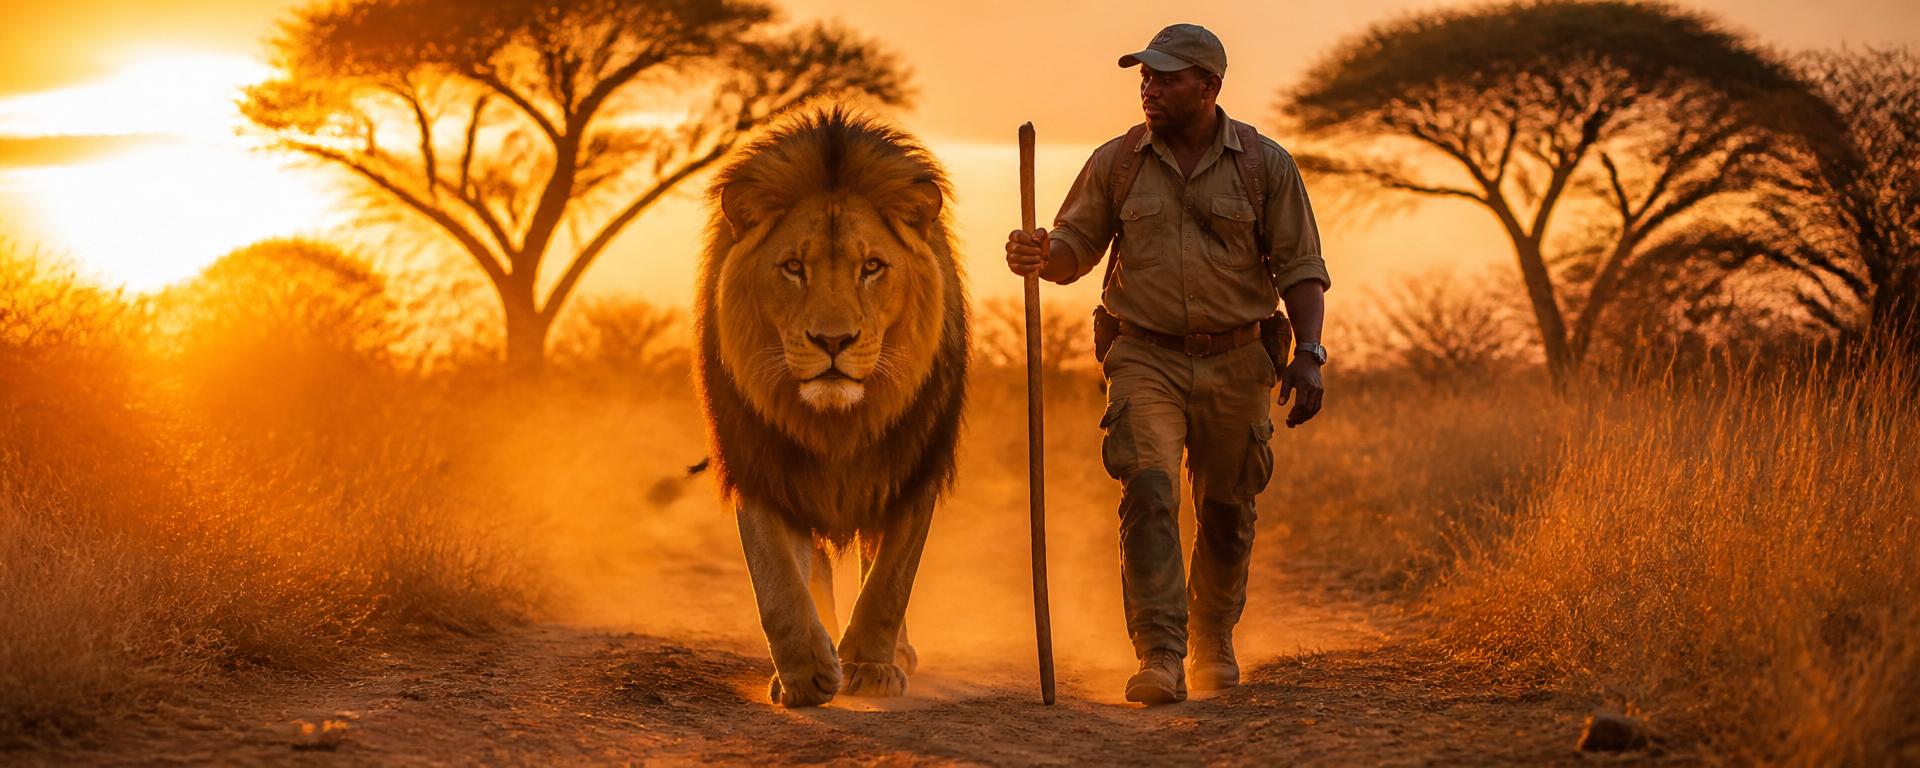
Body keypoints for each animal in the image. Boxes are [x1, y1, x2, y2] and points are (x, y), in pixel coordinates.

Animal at [693, 108, 968, 708]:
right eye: (794, 266)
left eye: (872, 267)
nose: (833, 340)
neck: (837, 422)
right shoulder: (762, 467)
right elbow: (777, 580)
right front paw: (806, 673)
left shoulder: (912, 469)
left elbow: (889, 582)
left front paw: (868, 665)